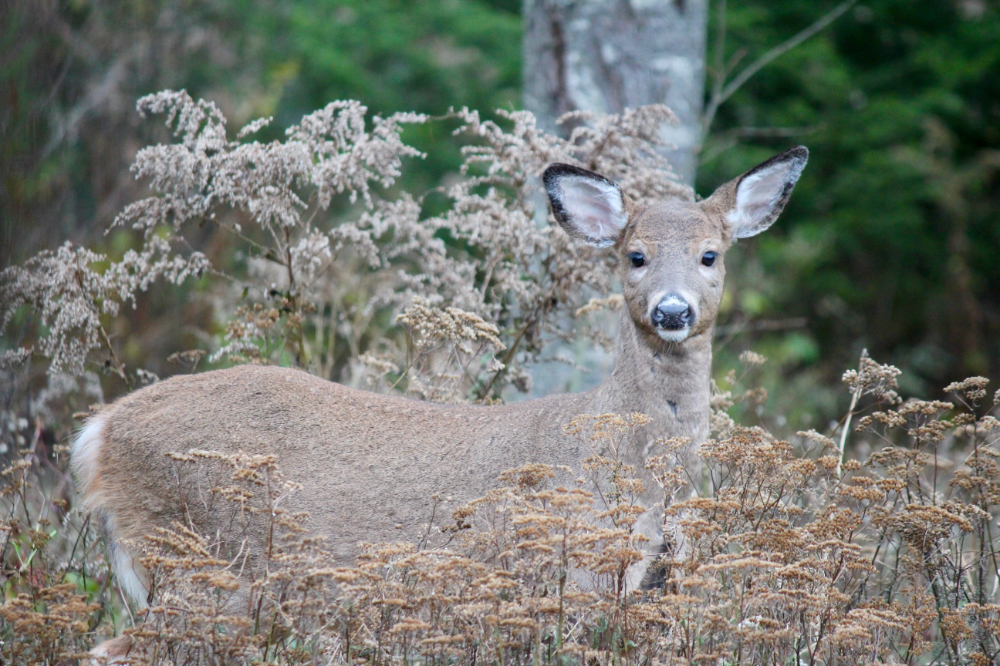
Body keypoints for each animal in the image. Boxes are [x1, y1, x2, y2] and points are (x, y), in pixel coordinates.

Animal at [70, 147, 808, 652]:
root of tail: (99, 432)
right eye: (635, 255)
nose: (673, 310)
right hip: (198, 558)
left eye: (711, 255)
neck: (626, 463)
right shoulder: (566, 578)